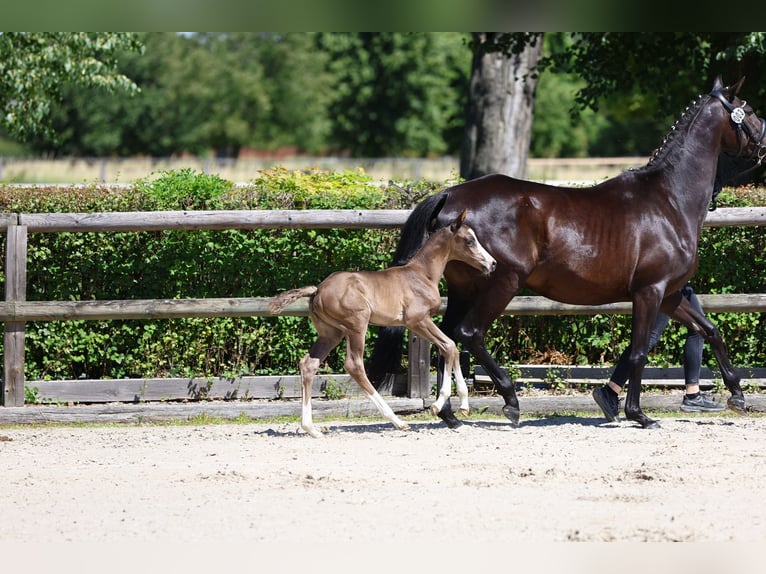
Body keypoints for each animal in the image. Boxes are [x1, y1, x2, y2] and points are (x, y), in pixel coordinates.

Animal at [270, 196, 498, 438]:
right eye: (469, 240)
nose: (492, 263)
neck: (422, 274)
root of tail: (317, 290)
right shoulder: (417, 320)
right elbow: (450, 346)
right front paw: (440, 405)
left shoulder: (419, 324)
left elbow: (450, 347)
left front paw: (462, 406)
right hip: (356, 326)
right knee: (354, 365)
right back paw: (396, 421)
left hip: (331, 333)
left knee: (309, 364)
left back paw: (311, 429)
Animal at [368, 76, 764, 430]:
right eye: (750, 111)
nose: (763, 145)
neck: (669, 200)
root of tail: (450, 196)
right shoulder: (649, 292)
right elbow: (639, 350)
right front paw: (638, 414)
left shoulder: (670, 294)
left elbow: (710, 330)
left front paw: (737, 396)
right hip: (503, 281)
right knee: (469, 333)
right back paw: (510, 402)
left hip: (466, 288)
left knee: (448, 339)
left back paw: (449, 414)